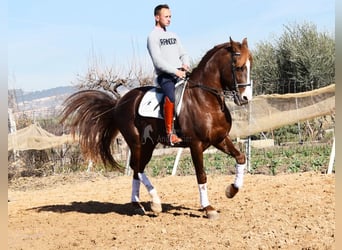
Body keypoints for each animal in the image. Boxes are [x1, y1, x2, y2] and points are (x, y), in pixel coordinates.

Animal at [61, 36, 252, 219]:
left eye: (250, 64)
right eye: (239, 67)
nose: (245, 98)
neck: (205, 99)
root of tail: (119, 103)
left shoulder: (219, 139)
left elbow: (241, 158)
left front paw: (231, 190)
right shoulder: (196, 145)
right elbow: (201, 175)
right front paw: (208, 208)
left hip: (148, 145)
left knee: (137, 169)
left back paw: (139, 205)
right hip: (137, 143)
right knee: (137, 167)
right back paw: (153, 203)